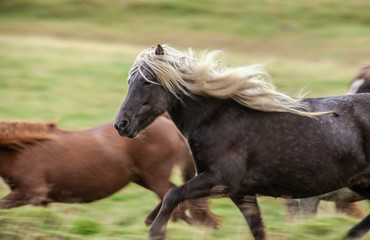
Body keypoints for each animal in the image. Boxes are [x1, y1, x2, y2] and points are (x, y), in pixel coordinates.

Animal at [0, 116, 220, 227]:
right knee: (173, 194)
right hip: (142, 177)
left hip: (154, 177)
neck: (21, 150)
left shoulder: (32, 191)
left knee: (173, 195)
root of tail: (168, 123)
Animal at [115, 44, 370, 238]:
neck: (217, 118)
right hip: (359, 182)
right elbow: (257, 228)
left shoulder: (220, 179)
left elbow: (173, 194)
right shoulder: (240, 192)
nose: (121, 125)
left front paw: (156, 231)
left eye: (147, 82)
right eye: (129, 81)